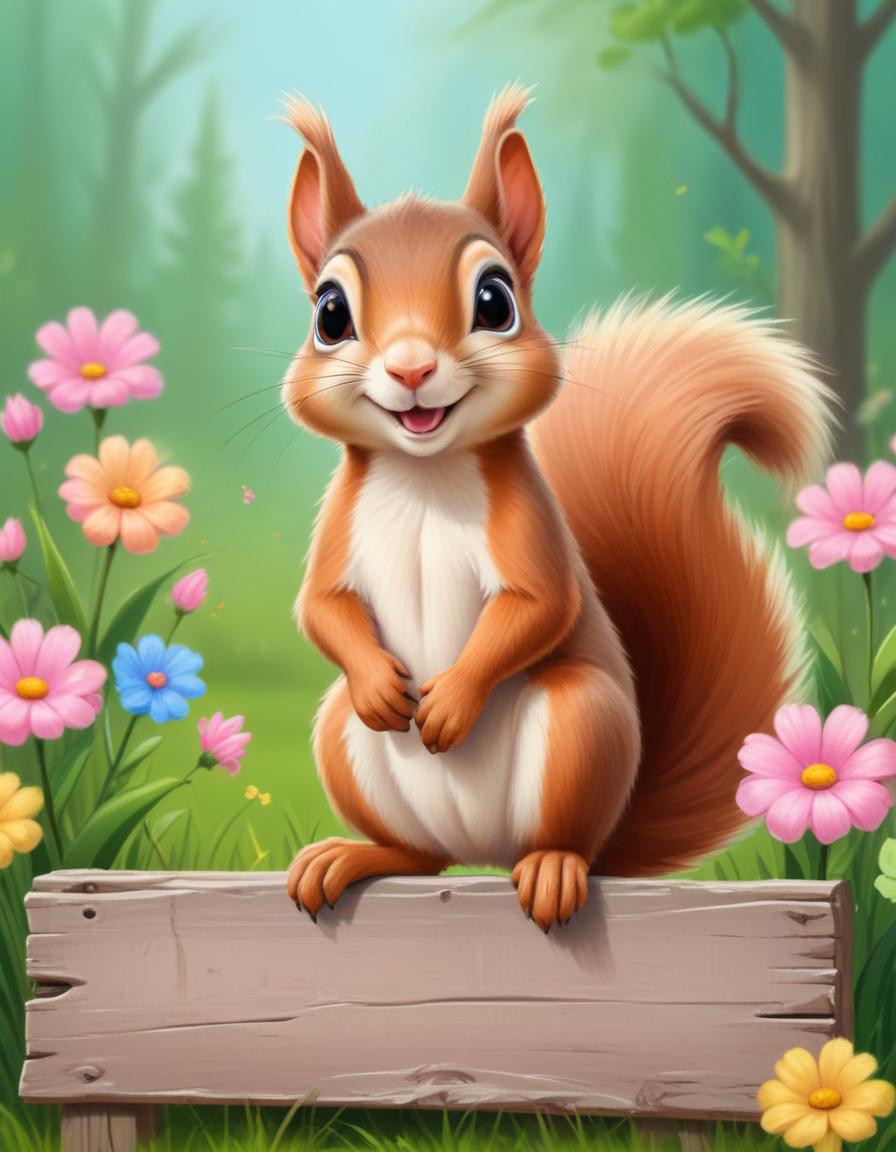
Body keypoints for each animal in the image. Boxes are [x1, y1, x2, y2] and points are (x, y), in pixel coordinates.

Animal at [280, 85, 834, 932]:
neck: (426, 476)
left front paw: (452, 702)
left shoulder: (529, 528)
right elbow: (321, 608)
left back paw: (552, 868)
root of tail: (481, 848)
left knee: (564, 839)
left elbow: (541, 606)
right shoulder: (337, 532)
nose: (410, 368)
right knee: (418, 852)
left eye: (495, 300)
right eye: (330, 314)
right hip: (342, 737)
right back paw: (354, 854)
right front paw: (381, 683)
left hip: (581, 728)